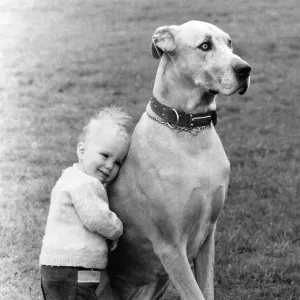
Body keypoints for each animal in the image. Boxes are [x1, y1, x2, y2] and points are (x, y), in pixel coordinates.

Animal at [107, 21, 251, 300]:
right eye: (205, 45)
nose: (245, 69)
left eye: (229, 43)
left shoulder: (208, 236)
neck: (190, 131)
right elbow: (195, 294)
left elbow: (206, 289)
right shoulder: (171, 247)